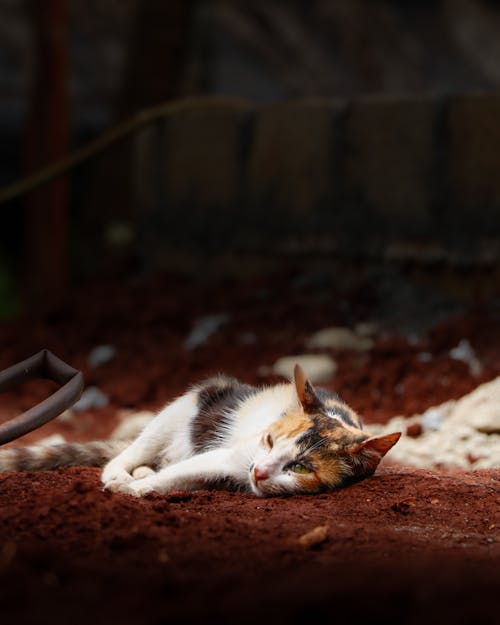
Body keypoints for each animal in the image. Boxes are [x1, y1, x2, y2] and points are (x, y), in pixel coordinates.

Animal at [0, 366, 400, 498]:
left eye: (301, 467)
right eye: (270, 440)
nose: (259, 471)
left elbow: (176, 477)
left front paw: (143, 486)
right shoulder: (232, 454)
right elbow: (173, 475)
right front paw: (130, 489)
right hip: (186, 405)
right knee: (127, 454)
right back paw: (123, 473)